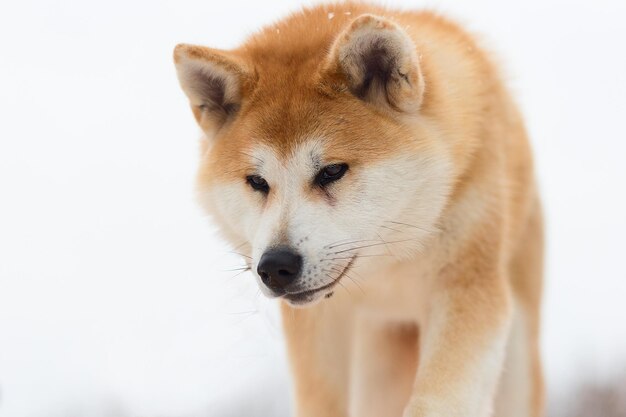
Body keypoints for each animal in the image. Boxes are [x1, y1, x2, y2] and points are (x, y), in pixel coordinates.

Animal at [172, 4, 540, 416]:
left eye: (332, 171)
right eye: (257, 181)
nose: (275, 267)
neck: (388, 267)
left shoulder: (467, 287)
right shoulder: (318, 324)